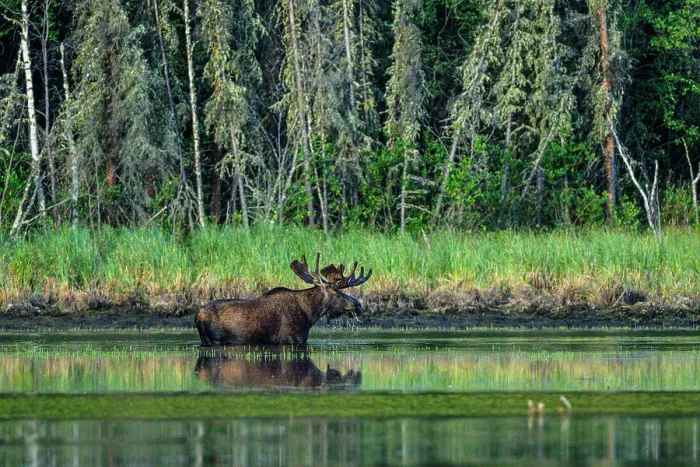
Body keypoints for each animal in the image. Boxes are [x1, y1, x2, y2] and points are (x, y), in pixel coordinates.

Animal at [195, 253, 372, 346]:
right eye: (337, 291)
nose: (358, 306)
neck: (309, 316)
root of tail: (197, 317)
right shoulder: (292, 340)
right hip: (215, 340)